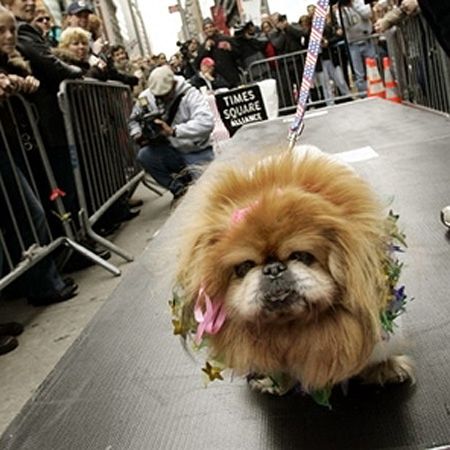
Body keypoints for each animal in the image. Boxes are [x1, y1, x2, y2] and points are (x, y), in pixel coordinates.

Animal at [173, 147, 414, 400]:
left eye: (301, 255)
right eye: (244, 267)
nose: (273, 269)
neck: (292, 327)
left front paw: (386, 367)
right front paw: (273, 381)